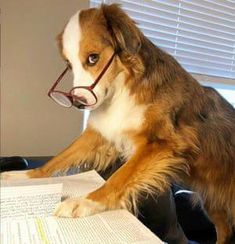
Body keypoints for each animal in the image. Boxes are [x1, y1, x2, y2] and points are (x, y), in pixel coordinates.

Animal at [2, 3, 235, 244]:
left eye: (93, 58)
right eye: (69, 64)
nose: (78, 102)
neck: (123, 87)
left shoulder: (161, 144)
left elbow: (118, 177)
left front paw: (86, 201)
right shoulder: (101, 132)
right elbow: (59, 158)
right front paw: (24, 176)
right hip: (213, 203)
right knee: (225, 230)